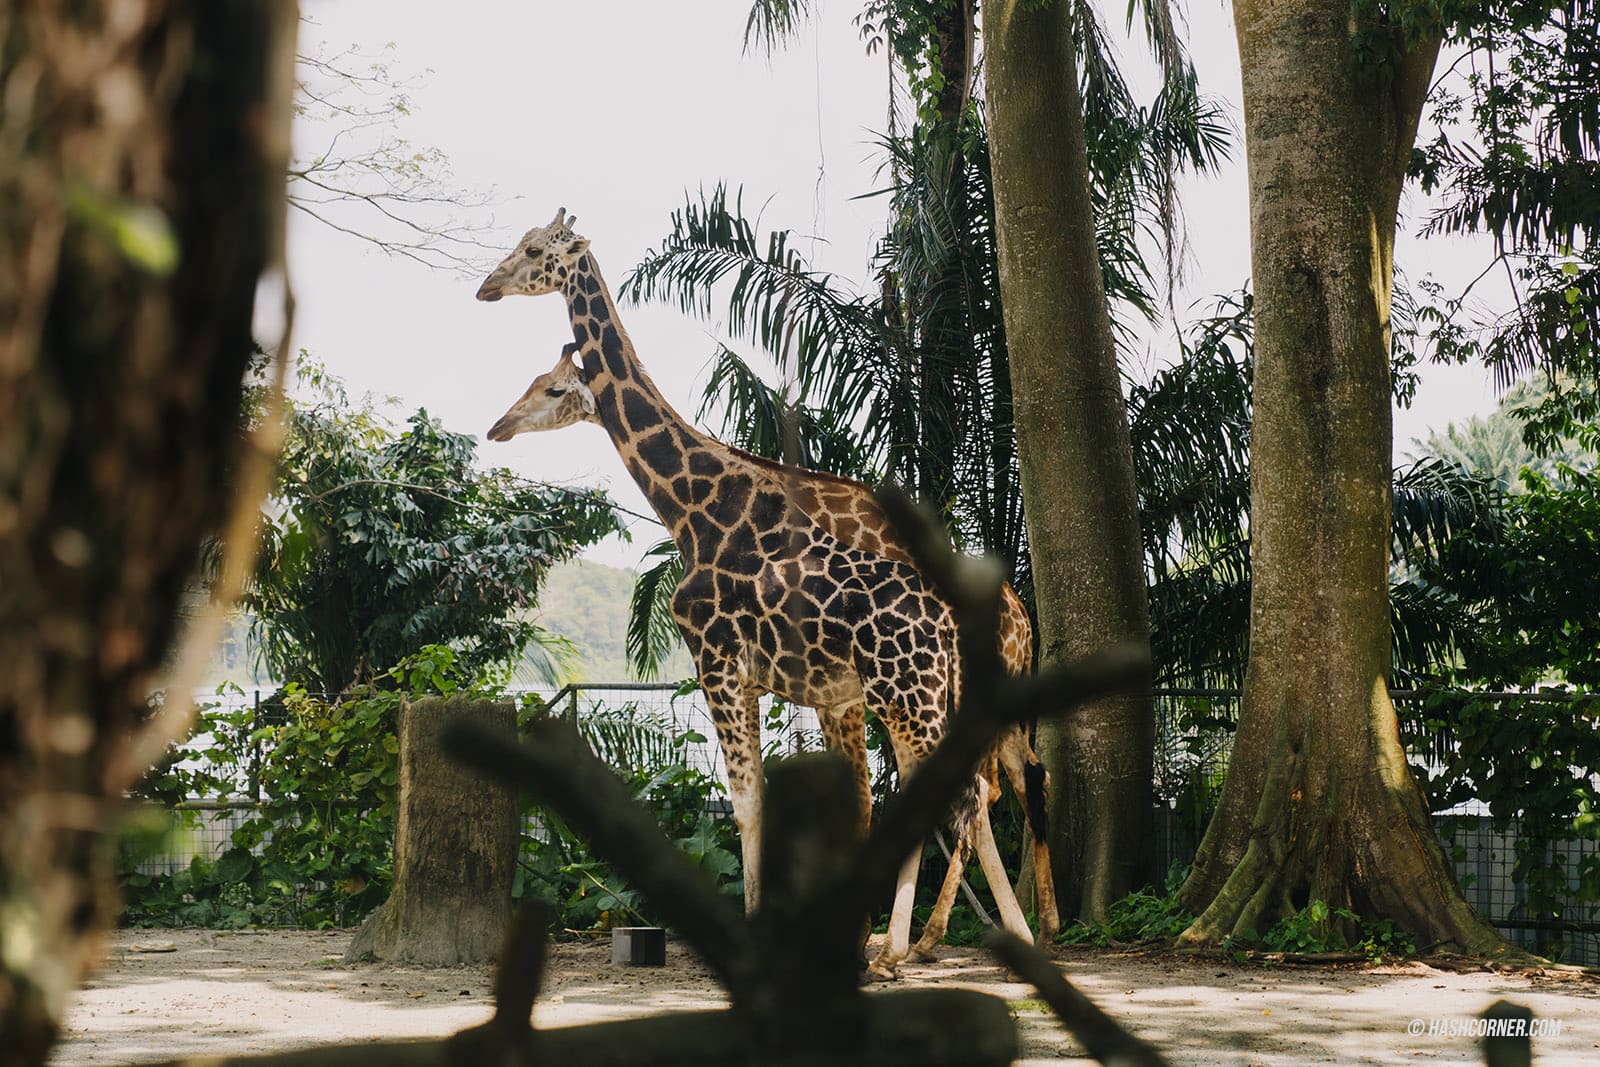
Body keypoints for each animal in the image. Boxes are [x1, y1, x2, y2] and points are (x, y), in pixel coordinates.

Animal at [470, 211, 1049, 979]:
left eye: (535, 251)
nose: (486, 286)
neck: (695, 507)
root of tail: (1011, 617)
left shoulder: (717, 659)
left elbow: (749, 802)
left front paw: (760, 935)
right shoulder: (791, 685)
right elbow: (797, 804)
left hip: (910, 697)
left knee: (971, 798)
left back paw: (960, 942)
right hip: (922, 700)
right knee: (972, 795)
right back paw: (950, 940)